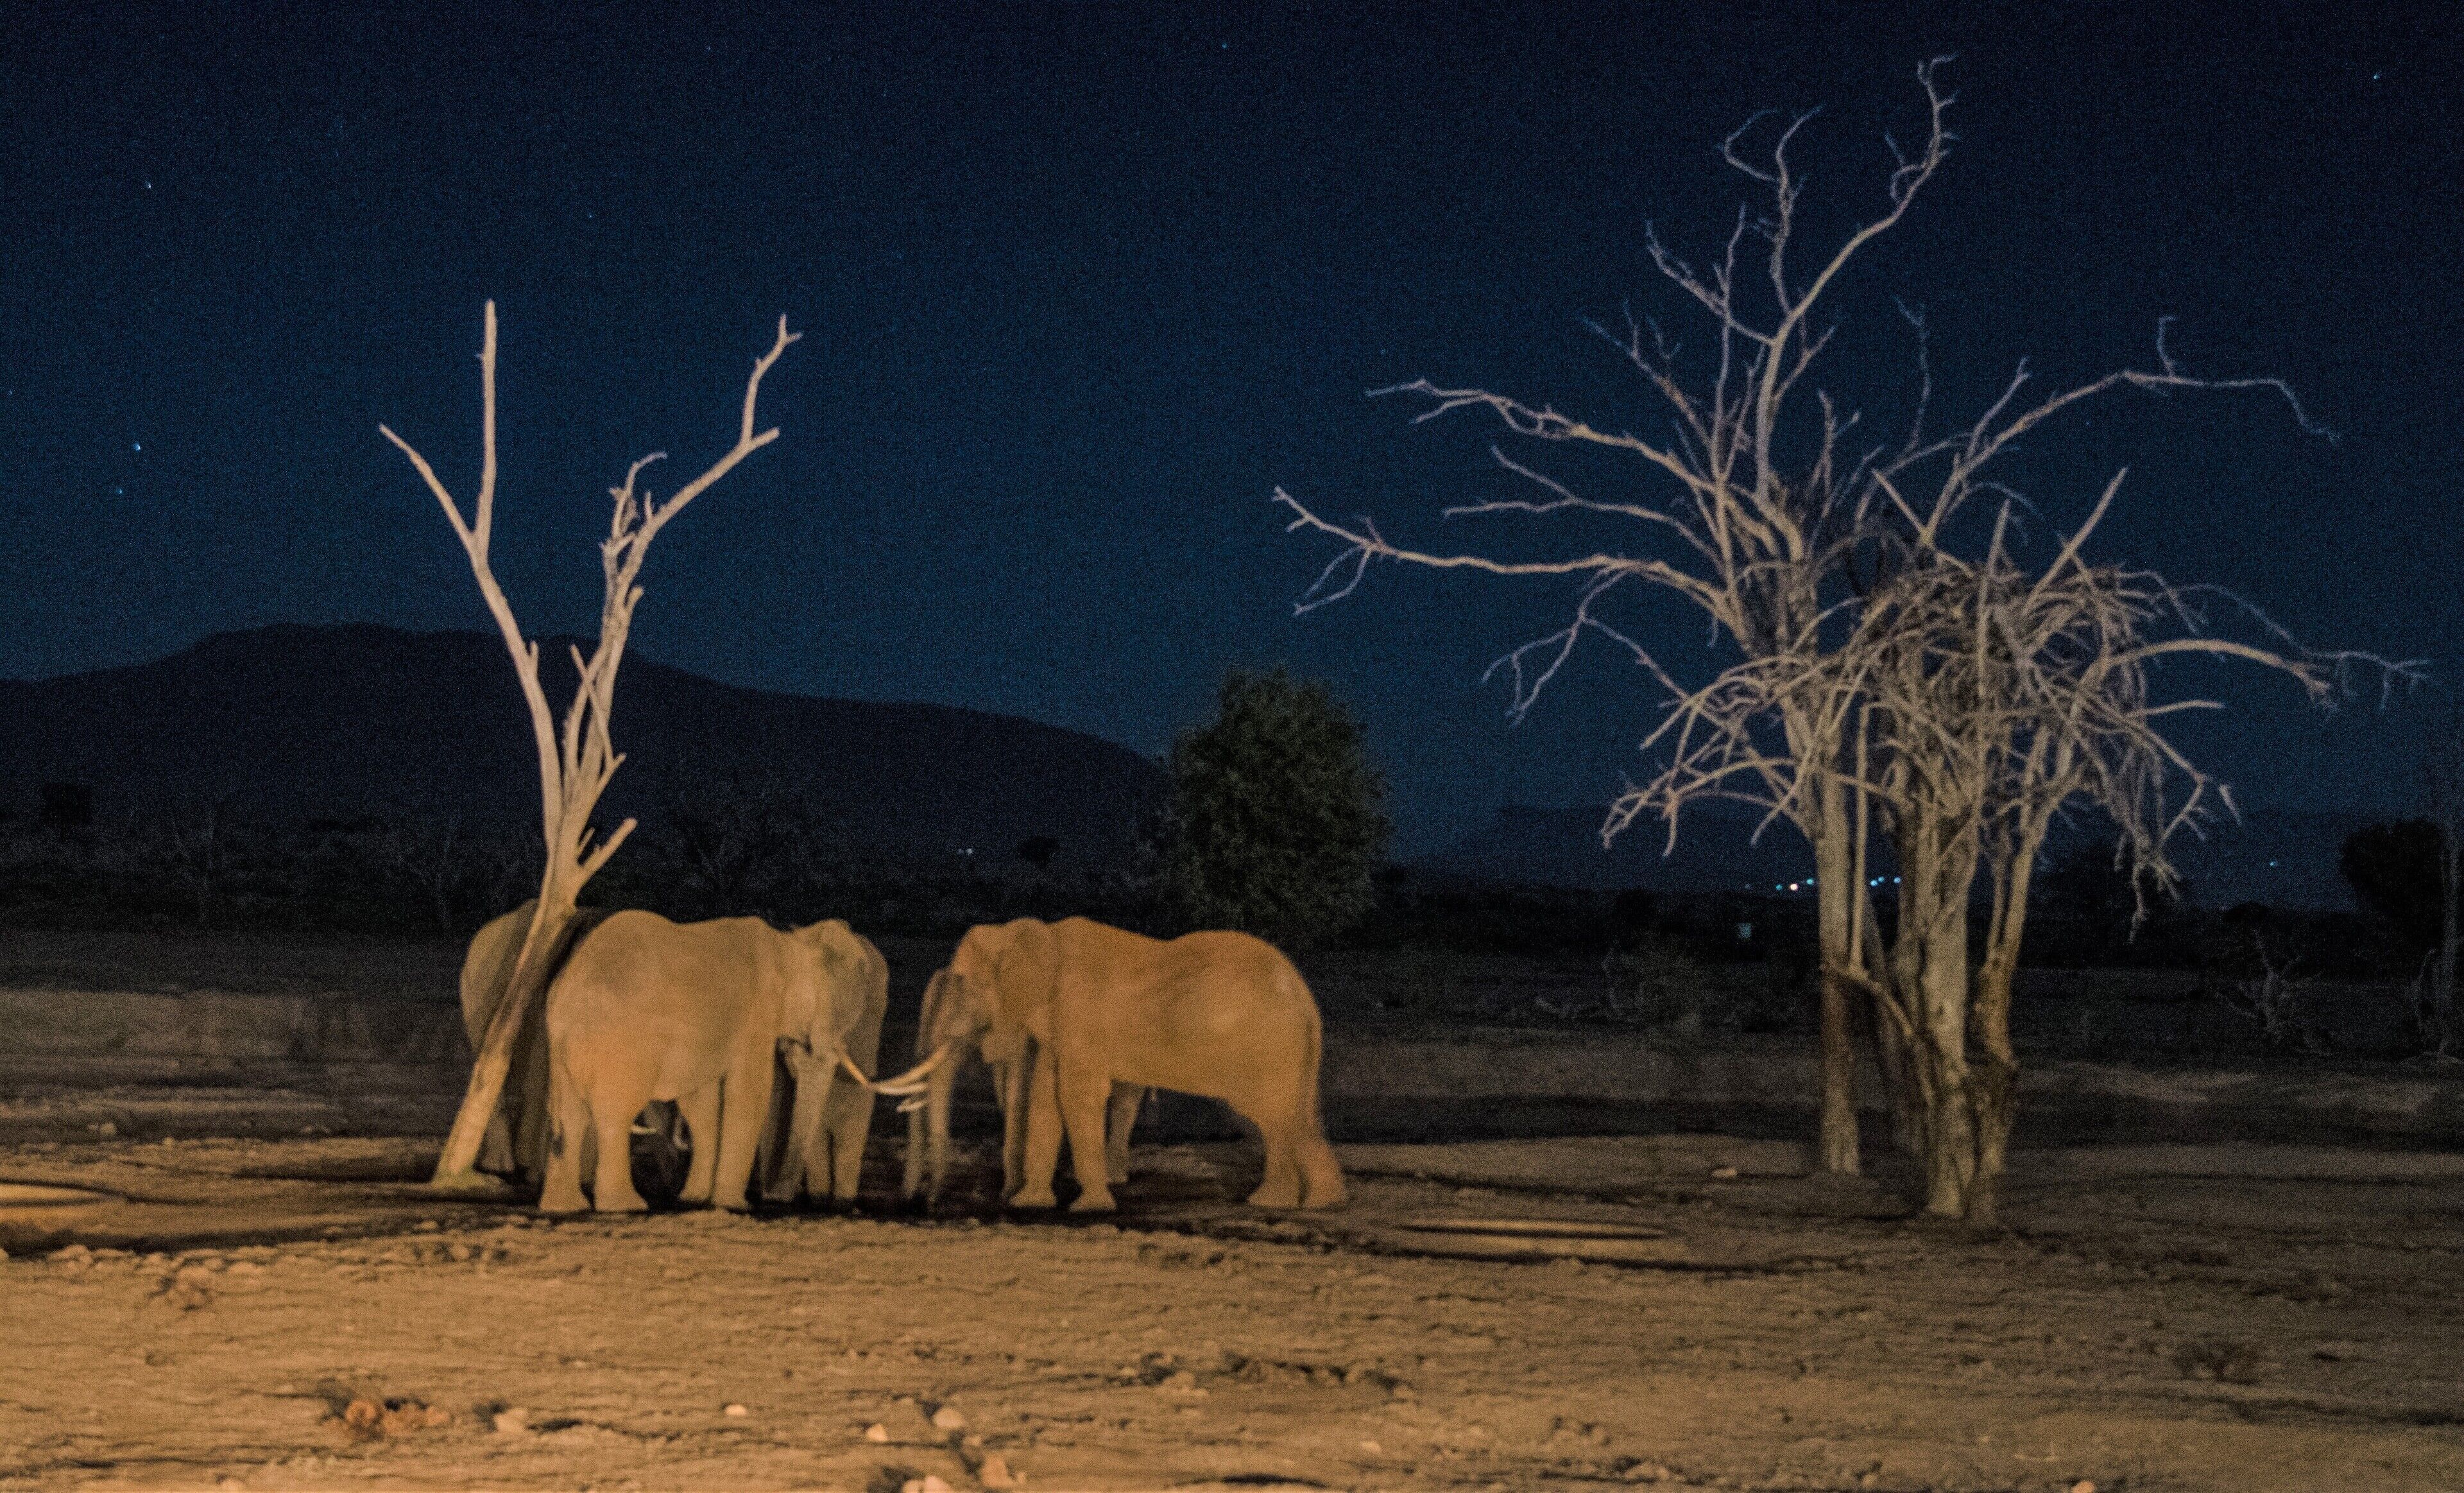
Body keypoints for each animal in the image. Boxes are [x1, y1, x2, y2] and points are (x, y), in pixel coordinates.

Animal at [537, 910, 932, 1214]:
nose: (776, 1199)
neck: (791, 945)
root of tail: (567, 994)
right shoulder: (755, 1015)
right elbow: (749, 1094)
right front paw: (734, 1205)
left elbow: (703, 1103)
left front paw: (696, 1199)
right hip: (623, 1045)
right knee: (614, 1113)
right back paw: (626, 1206)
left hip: (561, 1047)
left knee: (569, 1115)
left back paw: (564, 1206)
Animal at [904, 916, 1345, 1213]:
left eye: (962, 983)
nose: (924, 1203)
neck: (1032, 934)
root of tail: (1305, 996)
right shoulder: (1059, 1025)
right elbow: (1047, 1101)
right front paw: (1030, 1205)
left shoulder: (1079, 1018)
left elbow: (1077, 1098)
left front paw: (1089, 1209)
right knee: (1287, 1119)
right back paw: (1303, 1202)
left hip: (1268, 1048)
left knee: (1275, 1117)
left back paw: (1293, 1204)